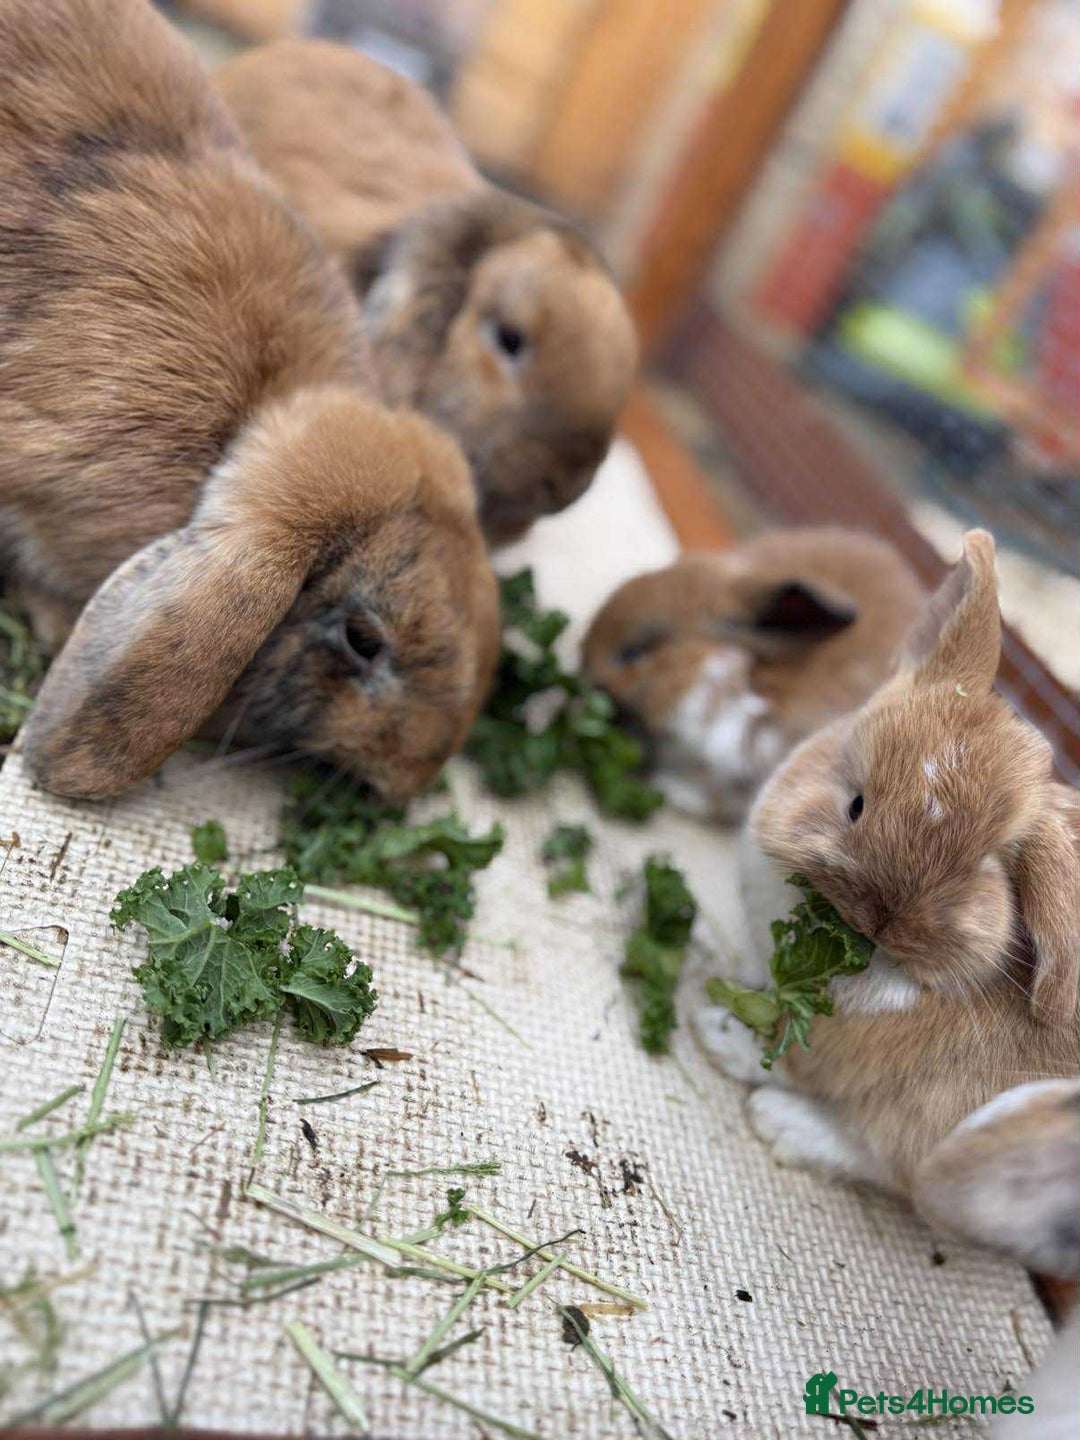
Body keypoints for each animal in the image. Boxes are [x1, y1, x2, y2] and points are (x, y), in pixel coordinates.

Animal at [695, 531, 1079, 1252]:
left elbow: (798, 1063)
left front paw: (719, 1030)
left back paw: (782, 1121)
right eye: (856, 803)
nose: (881, 918)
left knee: (911, 1179)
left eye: (987, 869)